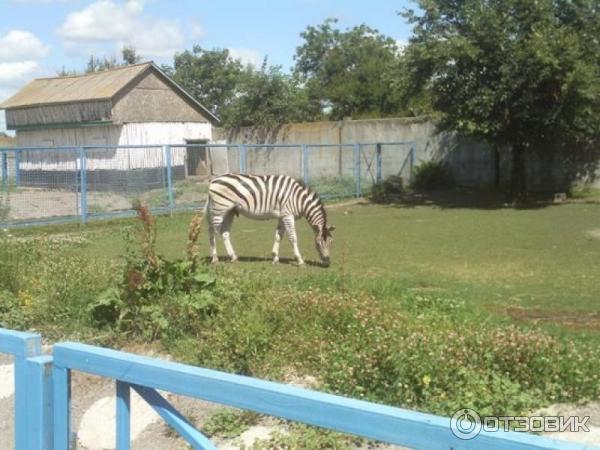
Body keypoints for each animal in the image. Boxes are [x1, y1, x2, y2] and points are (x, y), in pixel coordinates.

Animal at [203, 174, 336, 268]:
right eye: (318, 244)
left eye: (331, 242)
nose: (327, 263)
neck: (300, 199)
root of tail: (213, 180)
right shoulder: (288, 215)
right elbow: (293, 238)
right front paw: (300, 260)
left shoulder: (282, 216)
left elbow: (278, 236)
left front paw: (275, 258)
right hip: (219, 209)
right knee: (212, 233)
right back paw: (215, 259)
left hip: (229, 211)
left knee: (224, 233)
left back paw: (233, 257)